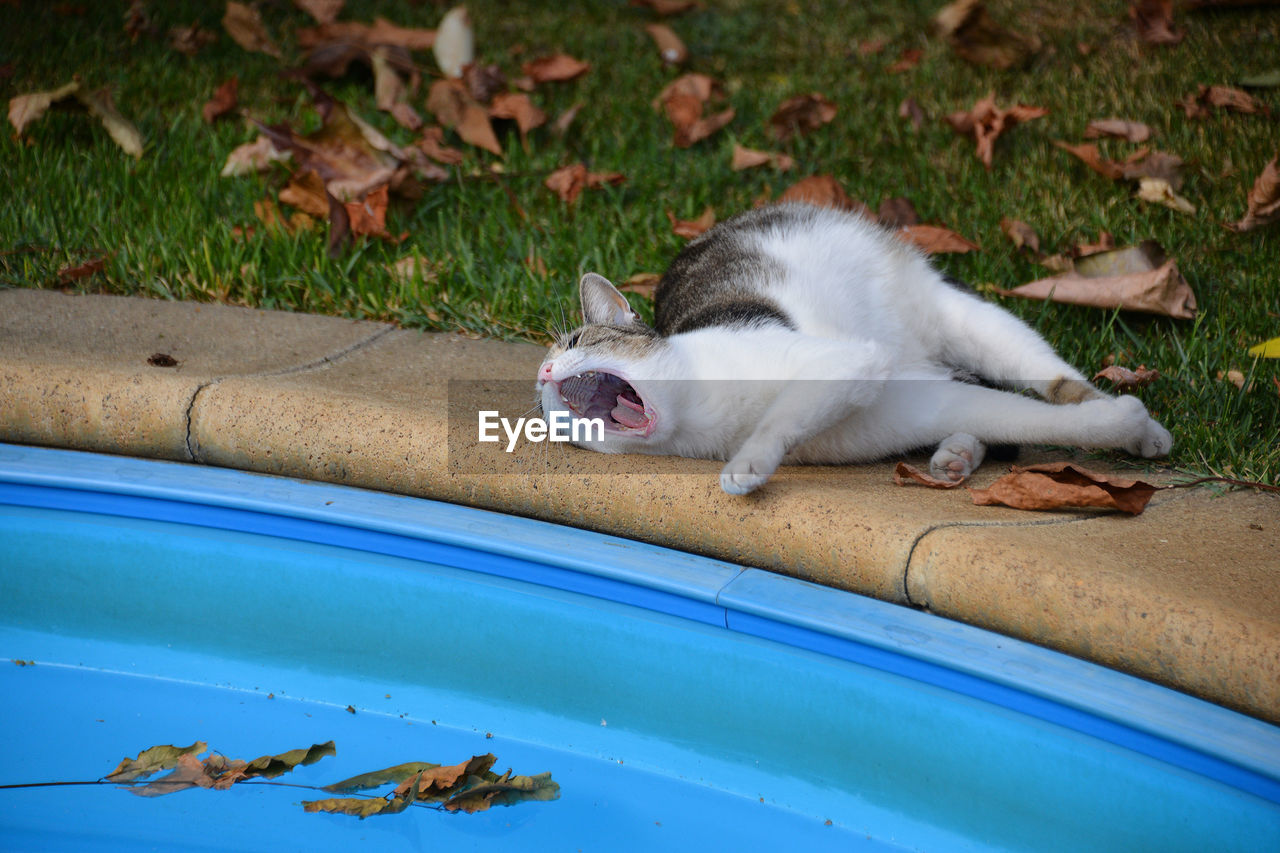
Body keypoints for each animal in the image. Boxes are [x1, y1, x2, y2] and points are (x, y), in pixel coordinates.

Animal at [535, 201, 1172, 491]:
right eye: (544, 415)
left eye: (575, 338)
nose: (543, 371)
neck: (700, 414)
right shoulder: (916, 403)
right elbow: (1013, 419)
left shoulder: (847, 360)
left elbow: (784, 412)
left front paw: (1126, 425)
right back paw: (957, 454)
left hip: (966, 316)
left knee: (1054, 380)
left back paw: (1139, 425)